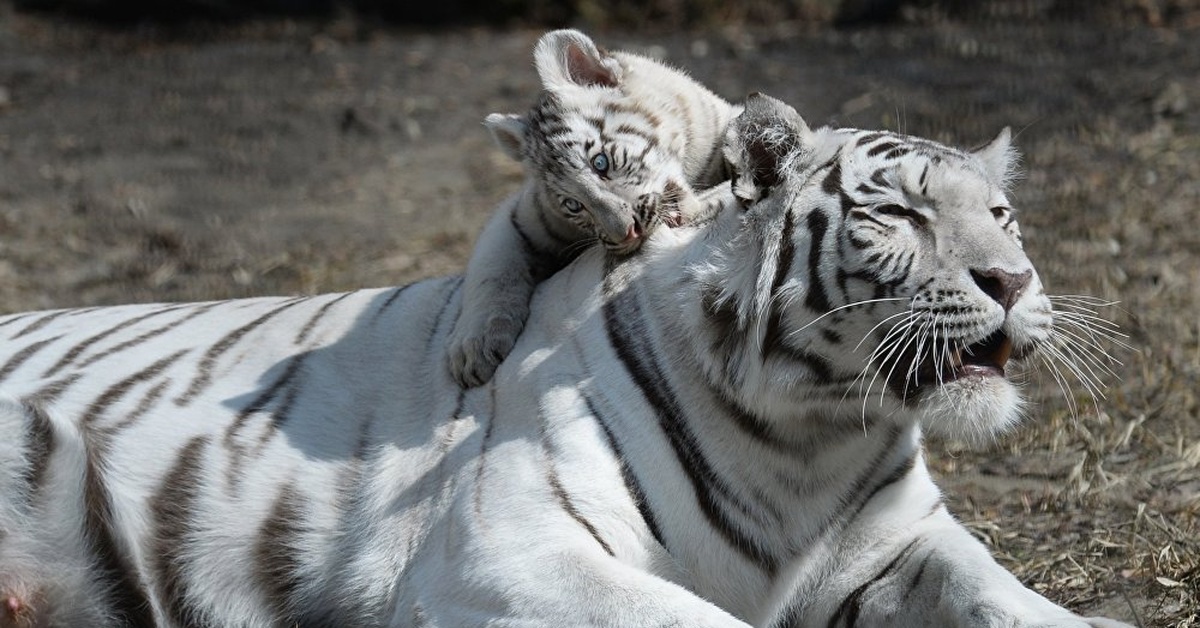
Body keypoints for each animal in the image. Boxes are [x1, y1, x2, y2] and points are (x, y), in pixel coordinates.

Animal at [0, 93, 1132, 628]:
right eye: (898, 216)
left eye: (1001, 215)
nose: (1013, 281)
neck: (812, 434)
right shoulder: (507, 552)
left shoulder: (902, 546)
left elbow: (1006, 598)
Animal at [448, 29, 734, 389]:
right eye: (573, 205)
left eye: (600, 163)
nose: (627, 234)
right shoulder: (519, 218)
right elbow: (491, 270)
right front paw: (472, 350)